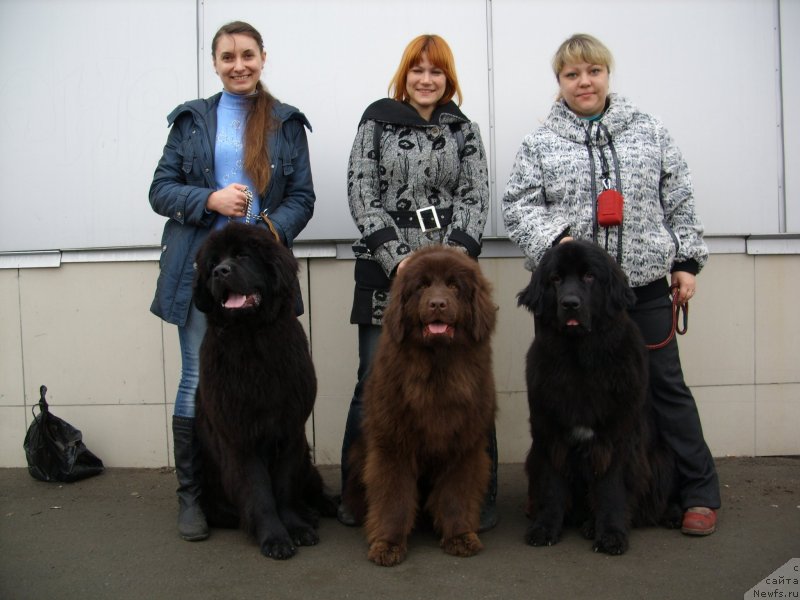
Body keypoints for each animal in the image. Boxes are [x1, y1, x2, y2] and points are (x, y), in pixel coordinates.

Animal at [193, 224, 334, 556]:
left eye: (243, 256)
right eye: (212, 262)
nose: (219, 272)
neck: (252, 340)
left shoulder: (290, 431)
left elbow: (283, 488)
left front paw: (296, 527)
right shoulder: (240, 436)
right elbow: (259, 492)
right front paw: (275, 538)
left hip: (306, 459)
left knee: (312, 487)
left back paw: (321, 509)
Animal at [346, 245, 496, 568]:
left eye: (454, 286)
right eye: (422, 287)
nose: (438, 304)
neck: (437, 370)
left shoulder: (463, 446)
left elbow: (455, 494)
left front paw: (459, 536)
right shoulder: (392, 444)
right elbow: (394, 496)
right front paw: (388, 543)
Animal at [516, 239, 680, 552]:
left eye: (590, 277)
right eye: (556, 279)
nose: (570, 304)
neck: (579, 358)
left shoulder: (616, 435)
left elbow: (611, 487)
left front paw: (612, 534)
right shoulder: (550, 432)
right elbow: (552, 486)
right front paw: (544, 528)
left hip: (661, 461)